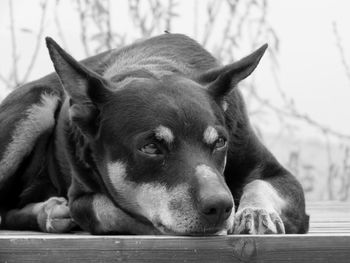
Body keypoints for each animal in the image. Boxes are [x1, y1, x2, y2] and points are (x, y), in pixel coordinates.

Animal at [0, 33, 308, 235]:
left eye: (220, 142)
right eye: (150, 147)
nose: (221, 207)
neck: (153, 65)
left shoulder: (277, 173)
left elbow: (261, 185)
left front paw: (256, 213)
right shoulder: (82, 198)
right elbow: (112, 212)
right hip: (35, 103)